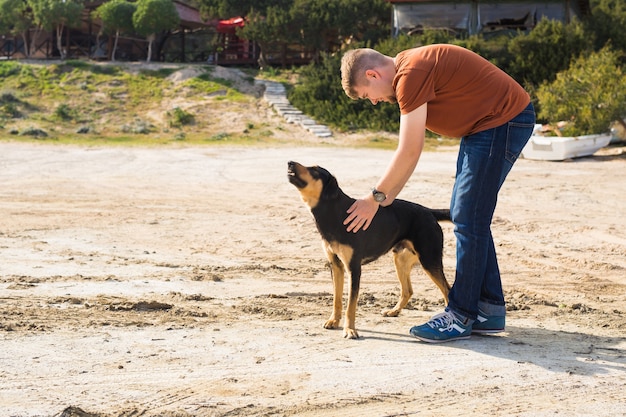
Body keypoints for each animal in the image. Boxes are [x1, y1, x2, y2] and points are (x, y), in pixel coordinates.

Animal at [286, 160, 450, 338]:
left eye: (315, 171)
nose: (290, 162)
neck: (335, 213)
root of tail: (429, 212)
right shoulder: (336, 266)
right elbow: (337, 299)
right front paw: (333, 321)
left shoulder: (354, 268)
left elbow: (351, 305)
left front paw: (350, 330)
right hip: (401, 260)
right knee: (408, 291)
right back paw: (393, 311)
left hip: (429, 260)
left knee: (447, 291)